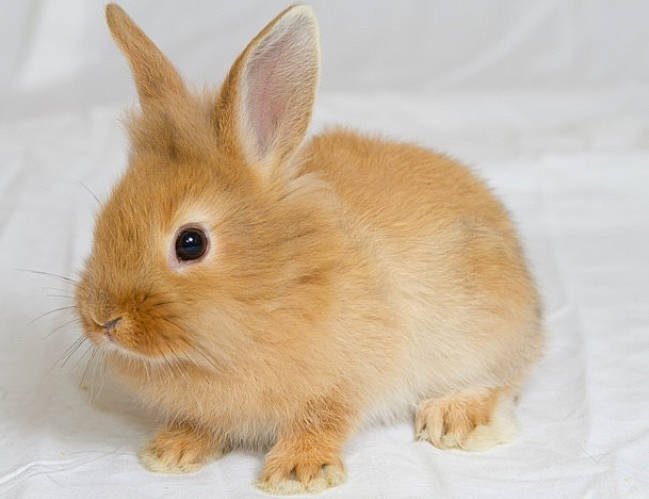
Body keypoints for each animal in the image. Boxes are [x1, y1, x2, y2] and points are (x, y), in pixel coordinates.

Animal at [75, 3, 543, 495]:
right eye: (106, 216)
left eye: (190, 243)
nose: (102, 320)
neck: (276, 289)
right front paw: (172, 451)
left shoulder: (348, 377)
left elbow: (322, 420)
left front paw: (298, 473)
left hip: (487, 331)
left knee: (500, 380)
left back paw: (454, 420)